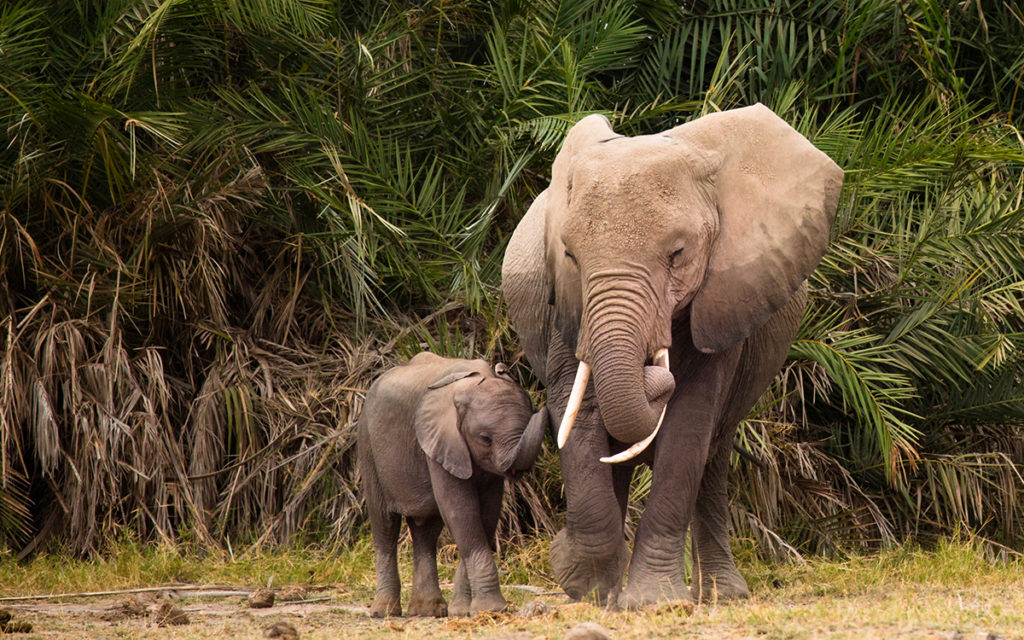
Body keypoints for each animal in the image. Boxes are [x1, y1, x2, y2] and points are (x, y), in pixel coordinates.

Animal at [360, 352, 552, 618]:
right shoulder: (441, 442)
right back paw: (384, 612)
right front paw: (491, 609)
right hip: (368, 446)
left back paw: (428, 611)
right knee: (384, 524)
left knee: (426, 530)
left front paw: (463, 611)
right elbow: (461, 511)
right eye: (485, 438)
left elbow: (486, 515)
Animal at [499, 104, 843, 610]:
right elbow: (578, 415)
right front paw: (582, 581)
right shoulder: (565, 305)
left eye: (678, 254)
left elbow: (688, 428)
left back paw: (722, 594)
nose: (652, 377)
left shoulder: (724, 300)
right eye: (570, 256)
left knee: (714, 453)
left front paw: (653, 601)